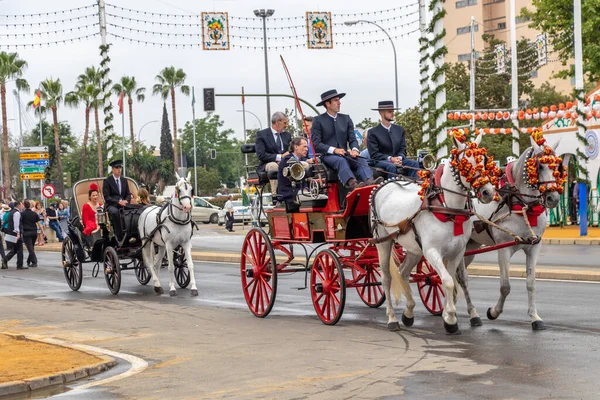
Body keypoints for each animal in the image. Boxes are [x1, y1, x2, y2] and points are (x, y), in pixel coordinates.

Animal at [370, 134, 496, 334]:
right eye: (465, 164)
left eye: (484, 161)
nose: (487, 192)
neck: (447, 208)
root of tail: (383, 183)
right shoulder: (432, 252)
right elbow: (448, 281)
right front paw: (450, 319)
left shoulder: (457, 252)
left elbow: (451, 280)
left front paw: (448, 315)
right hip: (382, 241)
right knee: (386, 278)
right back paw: (391, 318)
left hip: (413, 248)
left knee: (403, 272)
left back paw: (408, 312)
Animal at [464, 136, 564, 330]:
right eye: (540, 166)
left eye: (557, 166)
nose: (553, 198)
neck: (522, 204)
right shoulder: (504, 248)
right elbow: (505, 286)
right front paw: (494, 312)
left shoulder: (534, 246)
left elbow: (531, 283)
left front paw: (535, 317)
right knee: (460, 277)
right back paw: (470, 314)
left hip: (470, 246)